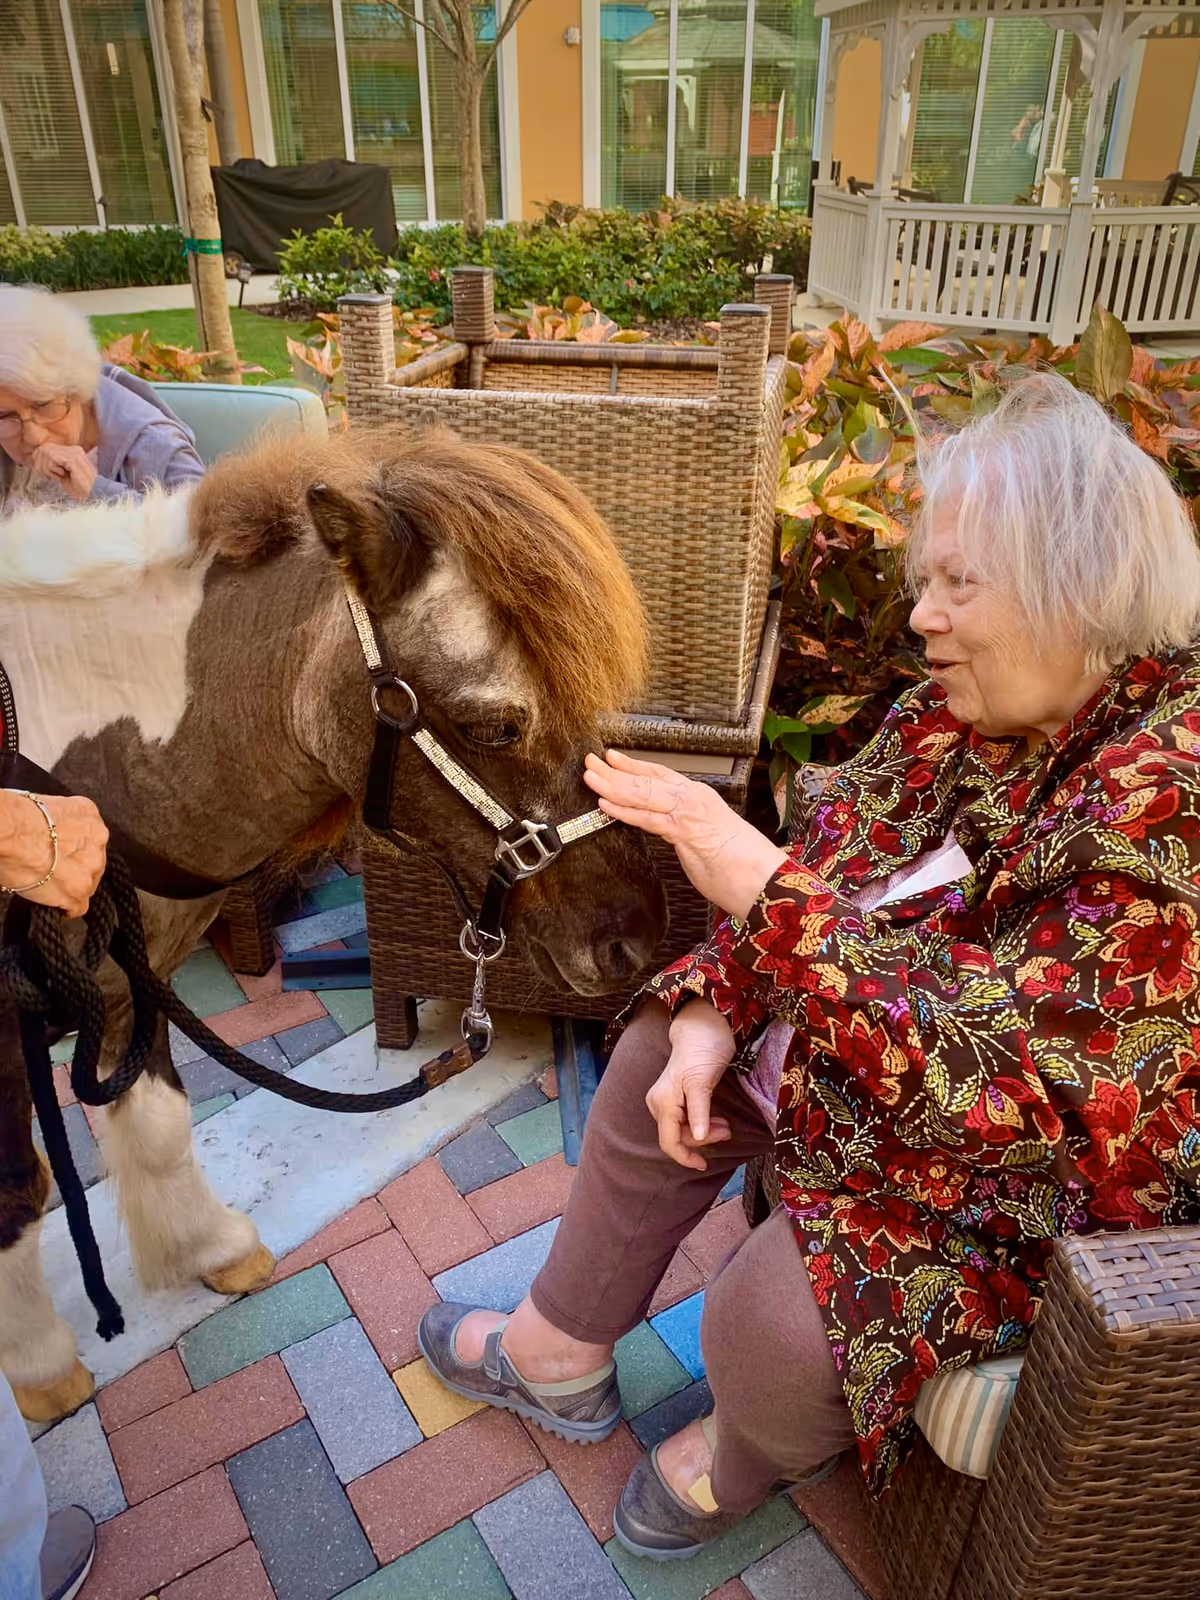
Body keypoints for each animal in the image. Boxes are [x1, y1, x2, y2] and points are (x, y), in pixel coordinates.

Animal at [0, 423, 667, 1425]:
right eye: (496, 726)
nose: (637, 933)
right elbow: (14, 1197)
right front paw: (41, 1370)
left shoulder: (134, 976)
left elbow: (155, 1120)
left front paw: (208, 1250)